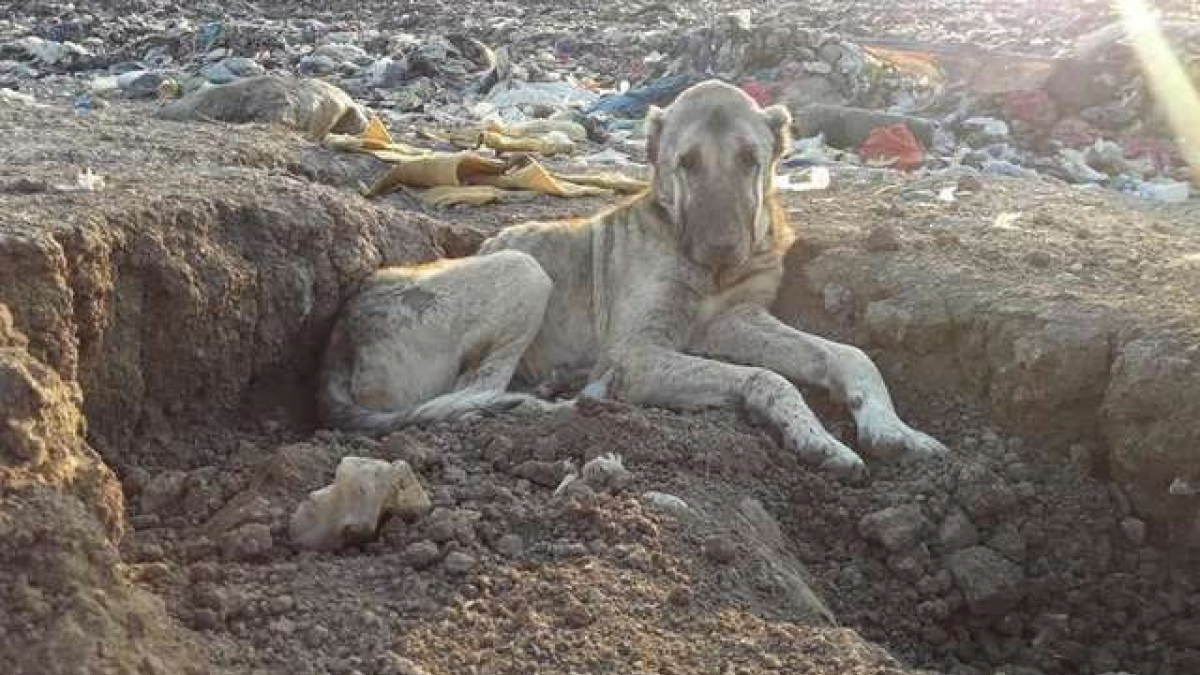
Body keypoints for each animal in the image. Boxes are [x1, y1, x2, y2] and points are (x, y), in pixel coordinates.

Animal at [316, 78, 945, 478]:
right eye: (686, 163)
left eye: (751, 160)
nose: (723, 251)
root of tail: (339, 335)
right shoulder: (638, 354)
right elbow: (767, 379)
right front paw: (816, 437)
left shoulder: (736, 320)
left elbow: (846, 354)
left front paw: (894, 428)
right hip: (523, 270)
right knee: (476, 393)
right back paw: (562, 402)